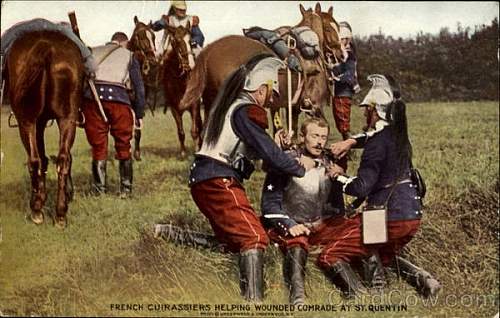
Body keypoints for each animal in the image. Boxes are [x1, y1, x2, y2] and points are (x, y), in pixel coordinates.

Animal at [6, 29, 84, 227]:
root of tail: (46, 47)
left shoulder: (36, 122)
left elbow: (40, 158)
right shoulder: (43, 122)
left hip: (26, 121)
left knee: (34, 160)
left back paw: (36, 210)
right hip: (67, 118)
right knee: (63, 159)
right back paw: (61, 213)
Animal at [180, 3, 344, 136]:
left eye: (337, 27)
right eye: (328, 28)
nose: (341, 54)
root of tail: (209, 50)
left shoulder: (288, 107)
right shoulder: (314, 106)